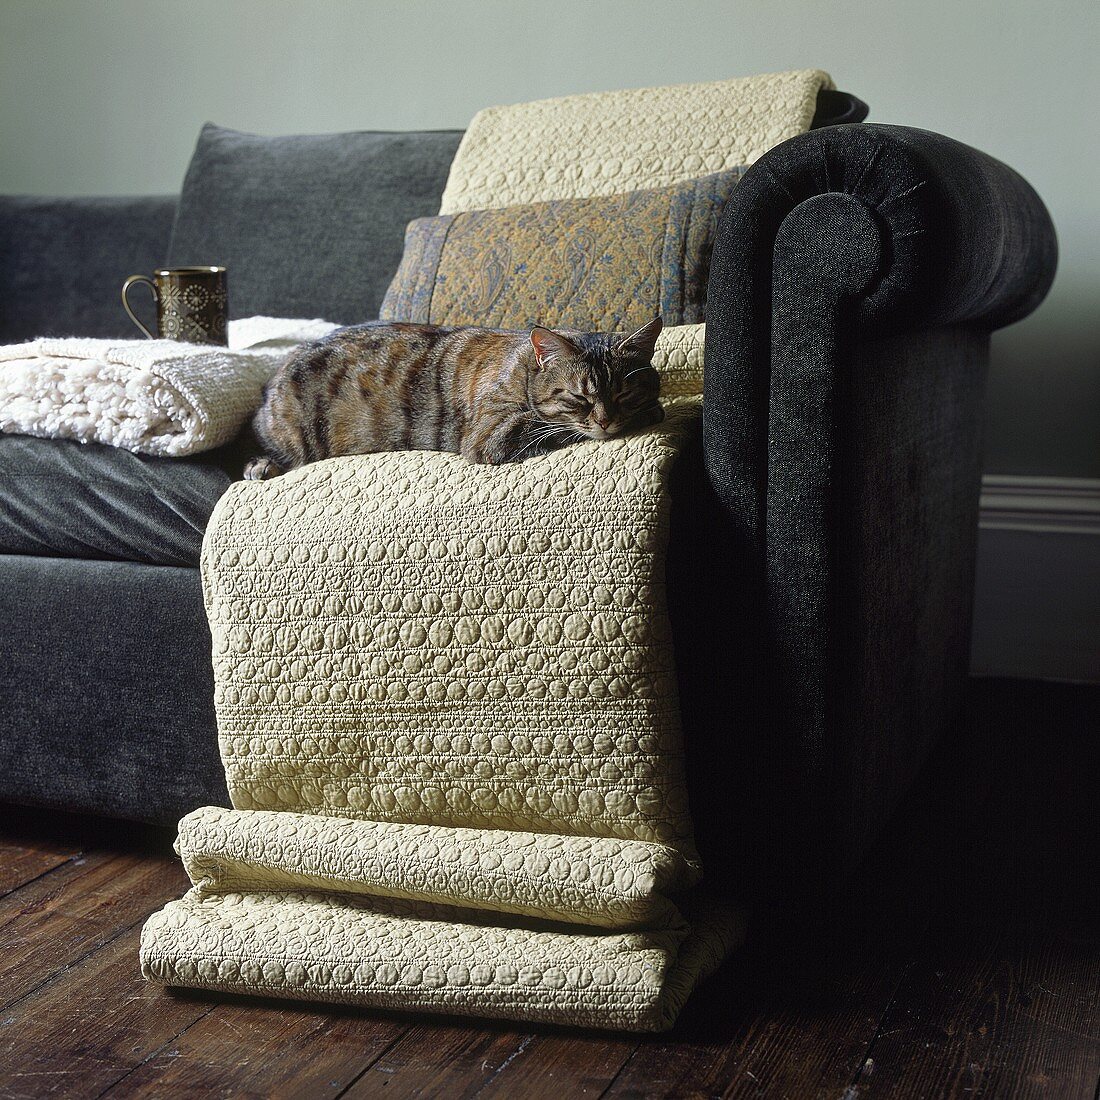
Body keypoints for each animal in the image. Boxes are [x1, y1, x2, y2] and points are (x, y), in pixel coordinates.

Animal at [245, 314, 664, 477]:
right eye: (579, 397)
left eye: (624, 393)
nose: (606, 421)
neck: (526, 369)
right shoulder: (491, 435)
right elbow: (552, 427)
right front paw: (651, 413)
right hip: (290, 430)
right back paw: (261, 465)